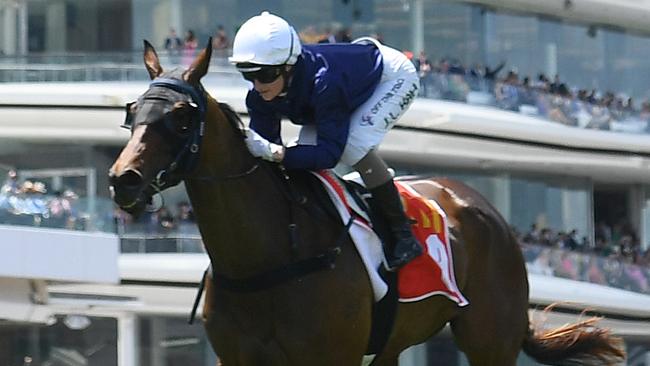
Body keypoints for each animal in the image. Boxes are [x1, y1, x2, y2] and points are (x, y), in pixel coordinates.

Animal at [109, 40, 624, 366]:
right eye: (133, 111)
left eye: (181, 116)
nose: (123, 180)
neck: (267, 257)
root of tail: (485, 209)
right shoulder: (236, 358)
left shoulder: (331, 356)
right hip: (397, 344)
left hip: (490, 339)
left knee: (358, 146)